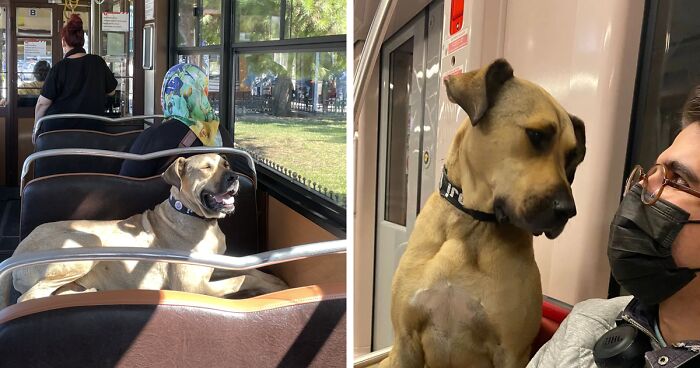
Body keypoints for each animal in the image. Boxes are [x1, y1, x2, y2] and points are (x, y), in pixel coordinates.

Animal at [0, 153, 288, 308]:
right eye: (207, 168)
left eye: (226, 165)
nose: (234, 177)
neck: (192, 214)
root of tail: (18, 249)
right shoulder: (194, 286)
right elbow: (243, 278)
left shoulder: (214, 266)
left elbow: (251, 271)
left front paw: (277, 283)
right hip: (85, 249)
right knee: (27, 298)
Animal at [380, 59, 588, 366]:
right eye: (536, 135)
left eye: (572, 159)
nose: (567, 211)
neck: (471, 222)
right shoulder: (405, 341)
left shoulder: (511, 352)